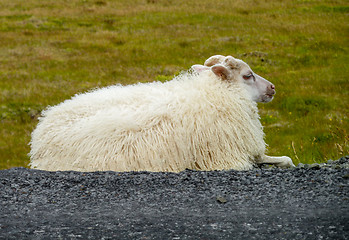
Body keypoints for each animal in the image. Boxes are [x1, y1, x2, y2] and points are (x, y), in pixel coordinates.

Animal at [29, 54, 294, 171]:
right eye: (248, 75)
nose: (272, 88)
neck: (214, 93)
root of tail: (39, 137)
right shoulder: (230, 157)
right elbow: (286, 160)